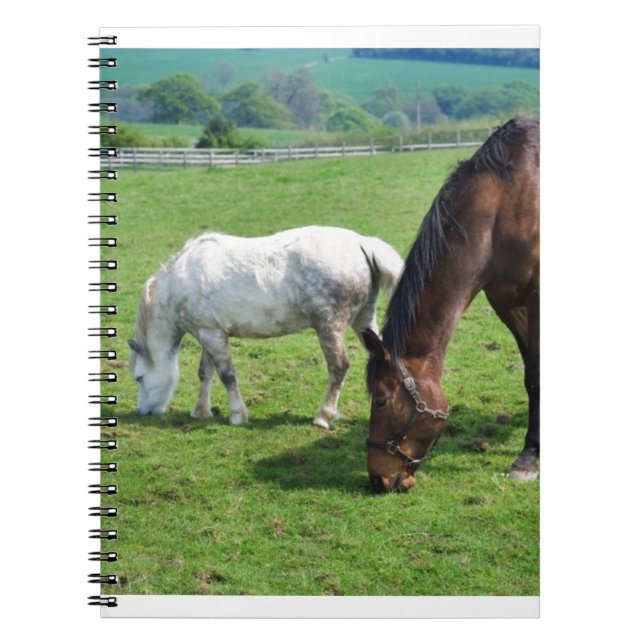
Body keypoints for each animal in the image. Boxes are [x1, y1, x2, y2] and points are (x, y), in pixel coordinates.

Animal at [128, 225, 404, 428]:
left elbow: (227, 375)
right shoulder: (209, 334)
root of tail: (361, 243)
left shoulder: (213, 337)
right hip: (364, 321)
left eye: (139, 377)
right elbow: (206, 373)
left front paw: (237, 415)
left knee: (338, 368)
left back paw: (323, 416)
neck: (181, 281)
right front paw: (200, 411)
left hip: (329, 327)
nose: (143, 411)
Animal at [364, 117, 540, 493]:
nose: (378, 480)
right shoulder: (507, 302)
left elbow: (535, 373)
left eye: (382, 400)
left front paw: (529, 456)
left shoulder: (536, 297)